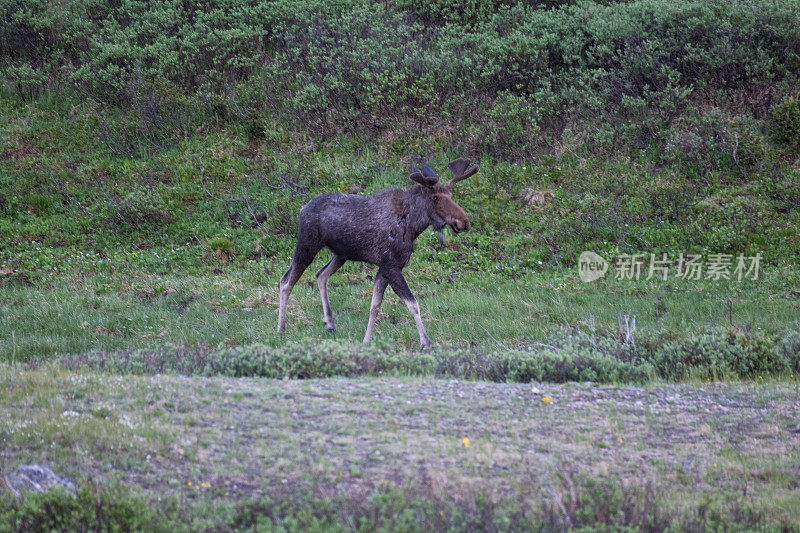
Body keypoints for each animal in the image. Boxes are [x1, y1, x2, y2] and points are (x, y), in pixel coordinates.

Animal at [276, 157, 476, 350]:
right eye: (435, 198)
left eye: (451, 195)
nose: (464, 221)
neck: (413, 227)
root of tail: (302, 208)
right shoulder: (391, 266)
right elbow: (413, 303)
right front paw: (425, 343)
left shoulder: (385, 268)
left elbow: (375, 305)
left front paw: (366, 340)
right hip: (307, 245)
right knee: (286, 281)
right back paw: (281, 329)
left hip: (341, 255)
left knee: (321, 274)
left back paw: (330, 323)